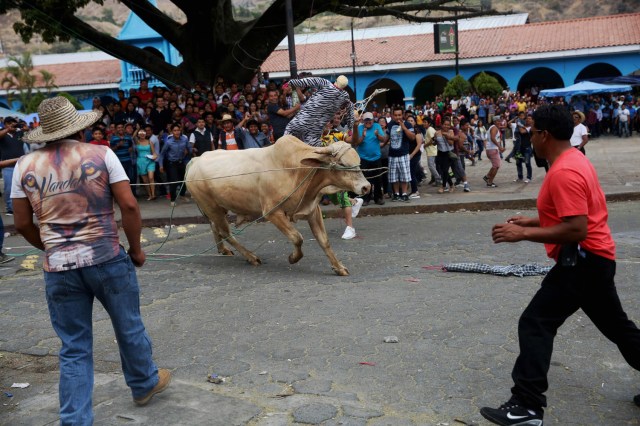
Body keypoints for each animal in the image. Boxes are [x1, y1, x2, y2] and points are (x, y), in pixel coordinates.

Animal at [185, 136, 370, 276]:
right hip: (212, 207)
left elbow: (324, 241)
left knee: (214, 227)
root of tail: (195, 160)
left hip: (217, 208)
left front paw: (338, 267)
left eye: (359, 162)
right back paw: (251, 257)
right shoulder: (272, 212)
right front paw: (293, 258)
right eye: (343, 164)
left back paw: (223, 250)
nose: (366, 187)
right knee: (225, 232)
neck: (298, 170)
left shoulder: (312, 210)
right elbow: (297, 238)